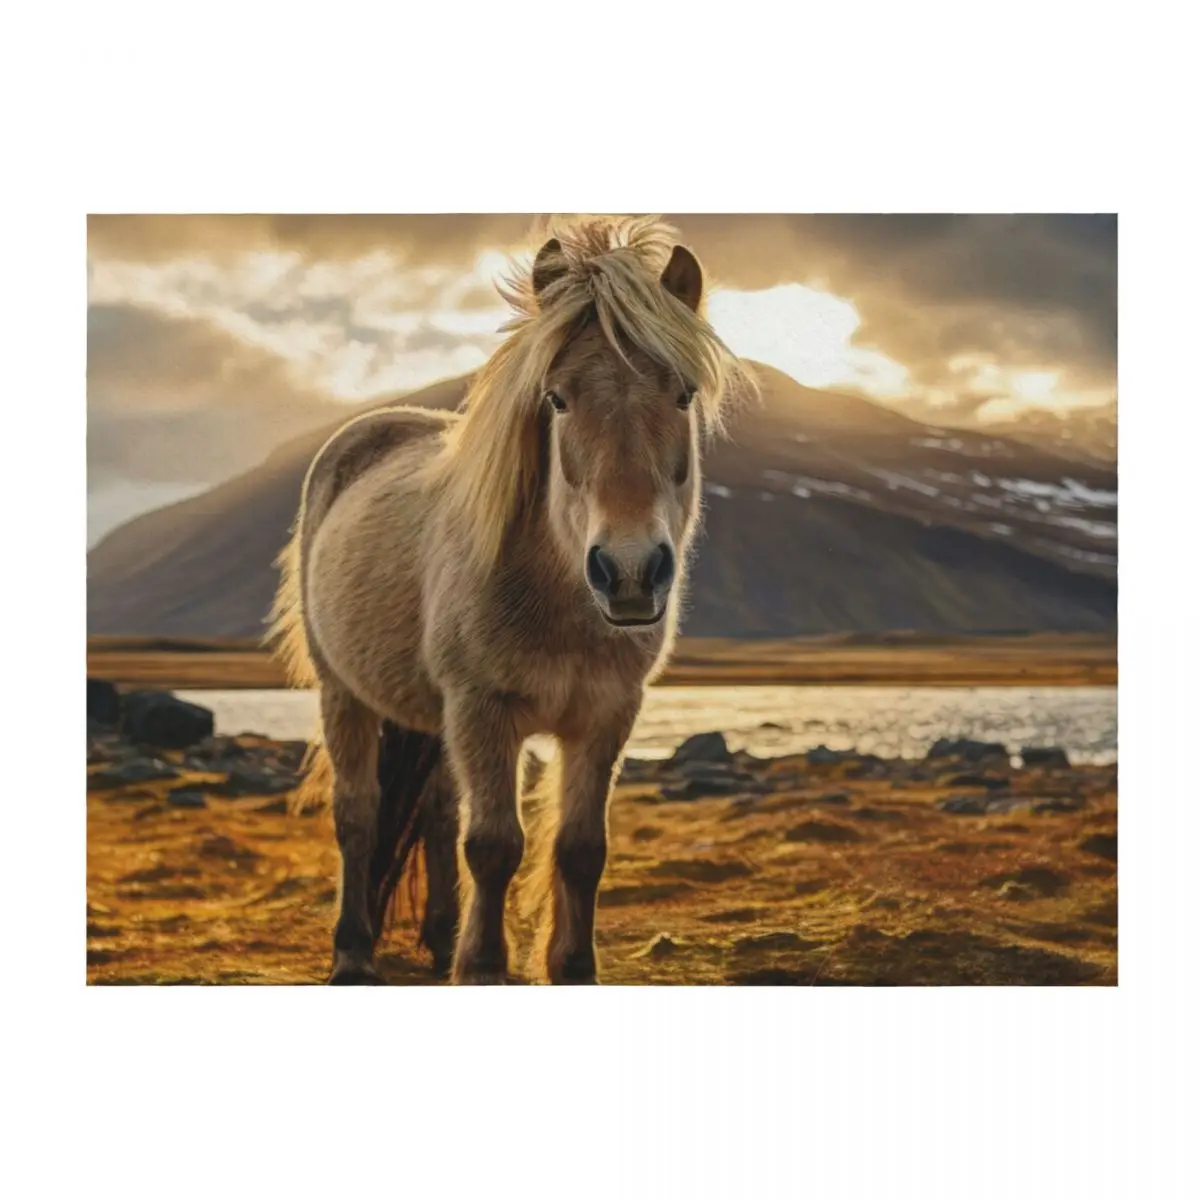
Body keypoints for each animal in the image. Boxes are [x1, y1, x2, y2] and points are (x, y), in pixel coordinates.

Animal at [268, 215, 755, 984]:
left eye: (681, 395)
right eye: (557, 398)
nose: (629, 571)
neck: (557, 604)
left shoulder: (605, 714)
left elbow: (581, 849)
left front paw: (570, 965)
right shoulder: (483, 709)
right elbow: (494, 845)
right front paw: (482, 965)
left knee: (437, 812)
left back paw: (439, 939)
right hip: (343, 693)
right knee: (358, 816)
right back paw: (352, 952)